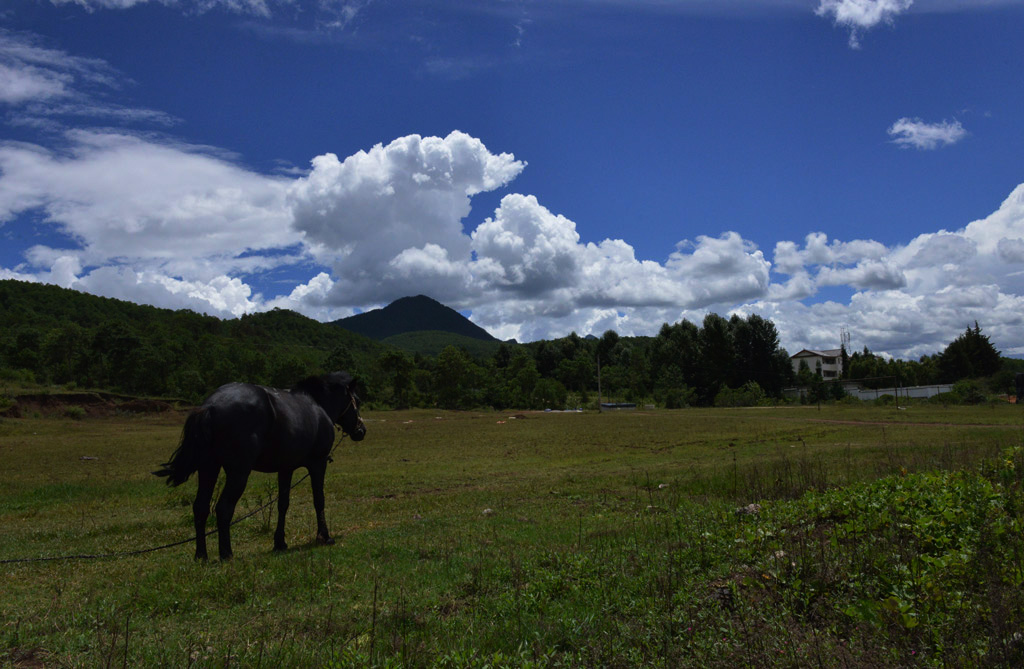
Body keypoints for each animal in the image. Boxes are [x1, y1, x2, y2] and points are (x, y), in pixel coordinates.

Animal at [155, 370, 368, 557]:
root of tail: (211, 406)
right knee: (223, 508)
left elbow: (283, 504)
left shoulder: (286, 469)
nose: (361, 430)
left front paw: (280, 542)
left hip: (208, 468)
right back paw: (226, 553)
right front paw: (324, 536)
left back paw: (201, 555)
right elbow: (319, 500)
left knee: (200, 507)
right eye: (356, 401)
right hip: (238, 473)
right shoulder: (318, 464)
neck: (317, 406)